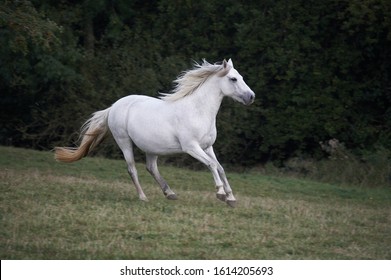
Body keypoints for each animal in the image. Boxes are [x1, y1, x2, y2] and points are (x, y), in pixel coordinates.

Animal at [56, 59, 258, 207]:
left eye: (241, 77)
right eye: (233, 79)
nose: (251, 97)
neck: (197, 110)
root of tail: (114, 106)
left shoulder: (208, 147)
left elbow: (220, 167)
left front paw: (231, 198)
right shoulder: (191, 147)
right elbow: (212, 165)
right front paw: (221, 194)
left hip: (151, 148)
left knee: (151, 168)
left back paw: (170, 193)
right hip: (124, 142)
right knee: (132, 169)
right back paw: (143, 197)